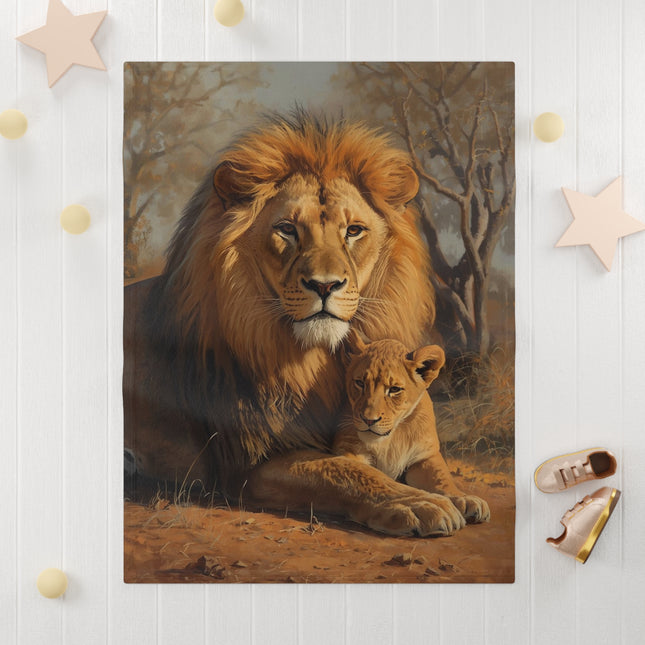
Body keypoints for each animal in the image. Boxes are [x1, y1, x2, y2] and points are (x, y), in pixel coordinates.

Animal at [124, 110, 465, 537]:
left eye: (354, 231)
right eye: (287, 228)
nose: (325, 285)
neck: (313, 363)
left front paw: (456, 496)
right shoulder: (249, 464)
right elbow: (343, 470)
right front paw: (419, 503)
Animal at [333, 332, 490, 528]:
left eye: (394, 389)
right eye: (360, 383)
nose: (369, 419)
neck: (391, 438)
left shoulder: (423, 456)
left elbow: (442, 478)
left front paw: (465, 499)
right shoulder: (349, 451)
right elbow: (370, 477)